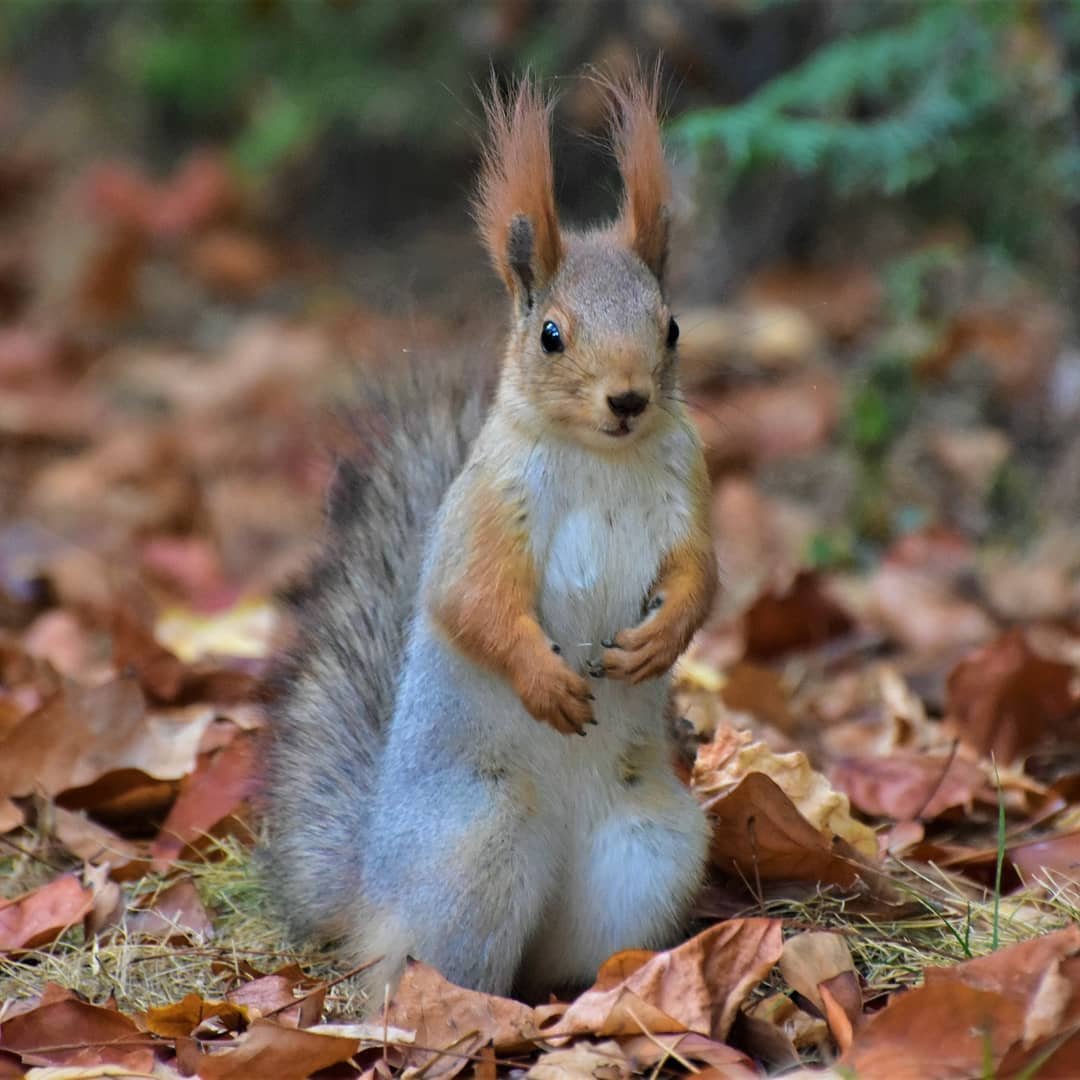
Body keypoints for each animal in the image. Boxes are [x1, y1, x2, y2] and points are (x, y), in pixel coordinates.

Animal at [261, 71, 717, 1002]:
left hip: (647, 853)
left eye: (671, 326)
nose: (629, 400)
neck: (602, 456)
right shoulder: (488, 507)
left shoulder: (689, 489)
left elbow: (701, 574)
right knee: (433, 967)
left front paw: (660, 641)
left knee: (571, 952)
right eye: (551, 335)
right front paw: (544, 682)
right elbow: (470, 601)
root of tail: (372, 890)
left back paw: (606, 989)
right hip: (476, 849)